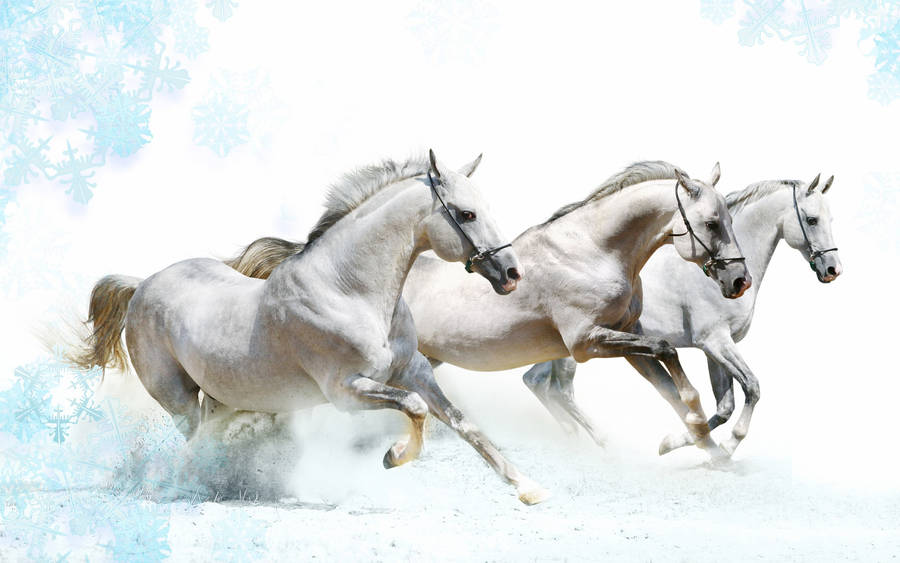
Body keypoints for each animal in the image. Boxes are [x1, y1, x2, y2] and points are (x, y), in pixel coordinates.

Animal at [74, 150, 551, 505]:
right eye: (466, 214)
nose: (512, 273)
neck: (348, 290)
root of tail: (142, 284)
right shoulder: (346, 391)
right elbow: (415, 408)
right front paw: (393, 457)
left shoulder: (414, 370)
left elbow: (463, 423)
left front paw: (529, 488)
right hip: (177, 398)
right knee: (196, 440)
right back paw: (197, 485)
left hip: (221, 396)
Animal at [520, 174, 842, 457]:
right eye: (812, 220)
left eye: (830, 220)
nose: (832, 270)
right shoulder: (715, 342)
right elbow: (752, 387)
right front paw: (723, 447)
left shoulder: (714, 349)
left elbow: (724, 406)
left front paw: (679, 443)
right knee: (559, 389)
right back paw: (600, 442)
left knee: (536, 381)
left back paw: (574, 438)